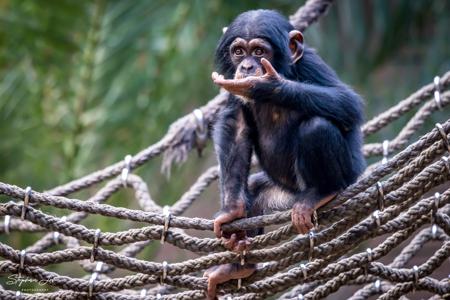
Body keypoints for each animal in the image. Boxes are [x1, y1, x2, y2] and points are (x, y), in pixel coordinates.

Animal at [204, 8, 366, 298]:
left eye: (259, 51)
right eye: (238, 52)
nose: (247, 67)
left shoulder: (312, 64)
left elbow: (347, 103)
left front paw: (264, 85)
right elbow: (236, 125)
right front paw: (232, 211)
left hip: (344, 176)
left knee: (317, 126)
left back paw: (322, 192)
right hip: (281, 193)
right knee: (253, 191)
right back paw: (238, 266)